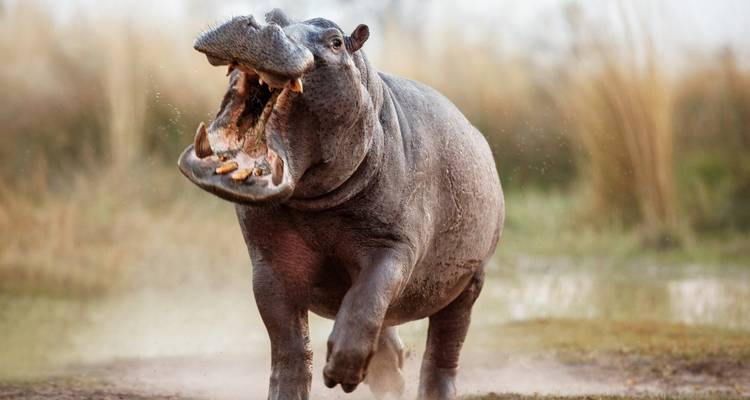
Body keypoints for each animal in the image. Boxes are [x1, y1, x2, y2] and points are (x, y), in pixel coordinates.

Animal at [178, 9, 504, 400]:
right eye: (274, 15)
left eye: (335, 41)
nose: (257, 25)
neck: (315, 205)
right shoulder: (269, 263)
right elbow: (288, 344)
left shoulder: (394, 246)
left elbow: (368, 297)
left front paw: (343, 373)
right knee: (387, 327)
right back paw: (390, 376)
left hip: (470, 282)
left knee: (444, 346)